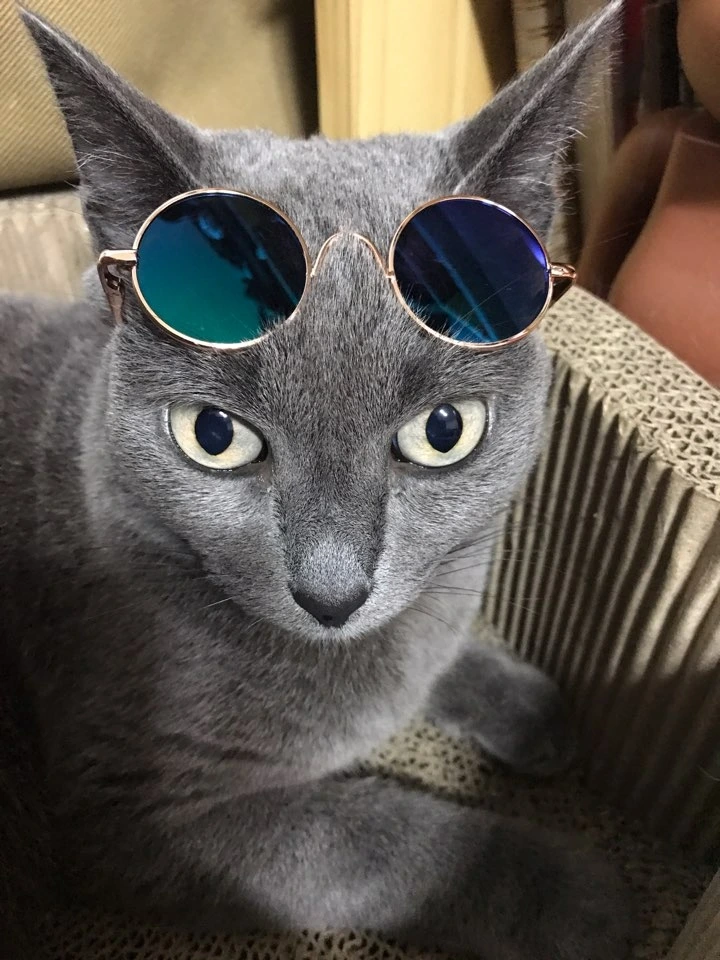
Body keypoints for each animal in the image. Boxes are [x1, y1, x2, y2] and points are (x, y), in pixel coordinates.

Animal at [0, 4, 634, 959]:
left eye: (443, 432)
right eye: (213, 436)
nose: (331, 593)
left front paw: (529, 710)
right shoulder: (136, 813)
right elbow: (378, 841)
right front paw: (586, 901)